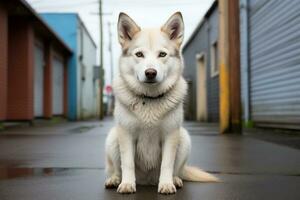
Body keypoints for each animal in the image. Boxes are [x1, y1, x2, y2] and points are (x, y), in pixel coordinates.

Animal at [105, 12, 218, 194]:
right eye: (139, 54)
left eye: (162, 55)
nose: (150, 73)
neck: (150, 99)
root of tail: (147, 181)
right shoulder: (126, 134)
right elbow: (127, 163)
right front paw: (127, 184)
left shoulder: (170, 135)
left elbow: (167, 164)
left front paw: (166, 184)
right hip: (113, 137)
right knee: (117, 168)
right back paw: (115, 179)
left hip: (184, 138)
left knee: (176, 170)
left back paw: (175, 180)